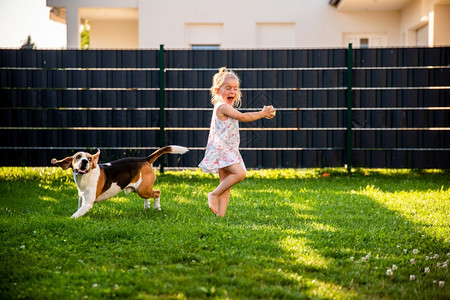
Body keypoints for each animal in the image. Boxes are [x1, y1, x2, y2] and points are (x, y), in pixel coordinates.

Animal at [51, 146, 188, 218]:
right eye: (78, 157)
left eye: (89, 159)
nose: (84, 162)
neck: (86, 177)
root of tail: (145, 159)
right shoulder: (81, 198)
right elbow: (79, 209)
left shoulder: (88, 203)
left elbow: (75, 214)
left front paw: (70, 220)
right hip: (141, 190)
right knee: (150, 195)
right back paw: (147, 206)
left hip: (143, 190)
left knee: (157, 192)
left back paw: (157, 208)